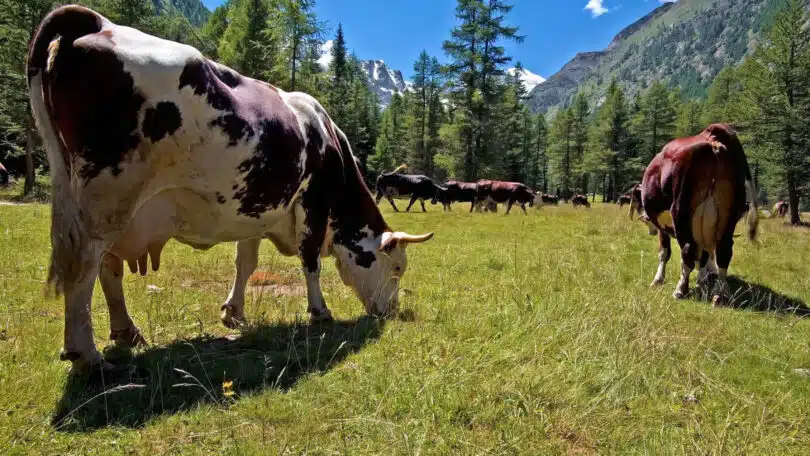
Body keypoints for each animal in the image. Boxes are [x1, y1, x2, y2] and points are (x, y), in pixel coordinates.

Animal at [26, 5, 436, 368]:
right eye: (396, 268)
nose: (391, 311)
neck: (328, 140)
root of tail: (101, 22)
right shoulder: (311, 205)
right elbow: (311, 262)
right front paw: (319, 312)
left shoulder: (256, 207)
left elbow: (246, 262)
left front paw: (233, 312)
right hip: (105, 200)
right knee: (85, 267)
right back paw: (86, 355)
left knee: (108, 268)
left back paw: (126, 331)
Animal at [632, 124, 756, 302]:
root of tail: (712, 138)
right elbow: (704, 257)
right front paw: (701, 281)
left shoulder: (665, 226)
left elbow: (664, 252)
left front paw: (658, 279)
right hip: (728, 216)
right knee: (723, 252)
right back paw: (721, 293)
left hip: (681, 210)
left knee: (688, 250)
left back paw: (680, 290)